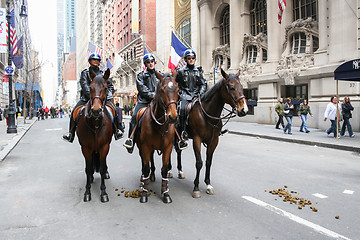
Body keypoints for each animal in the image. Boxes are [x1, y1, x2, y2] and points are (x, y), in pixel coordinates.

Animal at [76, 68, 113, 202]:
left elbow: (101, 169)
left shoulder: (104, 146)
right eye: (90, 88)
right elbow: (88, 169)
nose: (96, 110)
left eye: (106, 88)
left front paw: (103, 193)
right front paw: (87, 192)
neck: (96, 123)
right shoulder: (86, 148)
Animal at [134, 71, 179, 202]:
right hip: (141, 147)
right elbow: (146, 167)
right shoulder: (145, 146)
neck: (160, 124)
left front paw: (165, 193)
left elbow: (164, 169)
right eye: (162, 90)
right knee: (145, 162)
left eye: (177, 89)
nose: (173, 117)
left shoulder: (168, 147)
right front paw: (144, 193)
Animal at [172, 68, 248, 198]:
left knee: (178, 151)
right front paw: (196, 188)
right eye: (231, 87)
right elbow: (199, 163)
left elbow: (208, 162)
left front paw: (208, 185)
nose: (244, 110)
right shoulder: (197, 139)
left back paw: (180, 172)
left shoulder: (214, 141)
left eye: (242, 87)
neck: (208, 114)